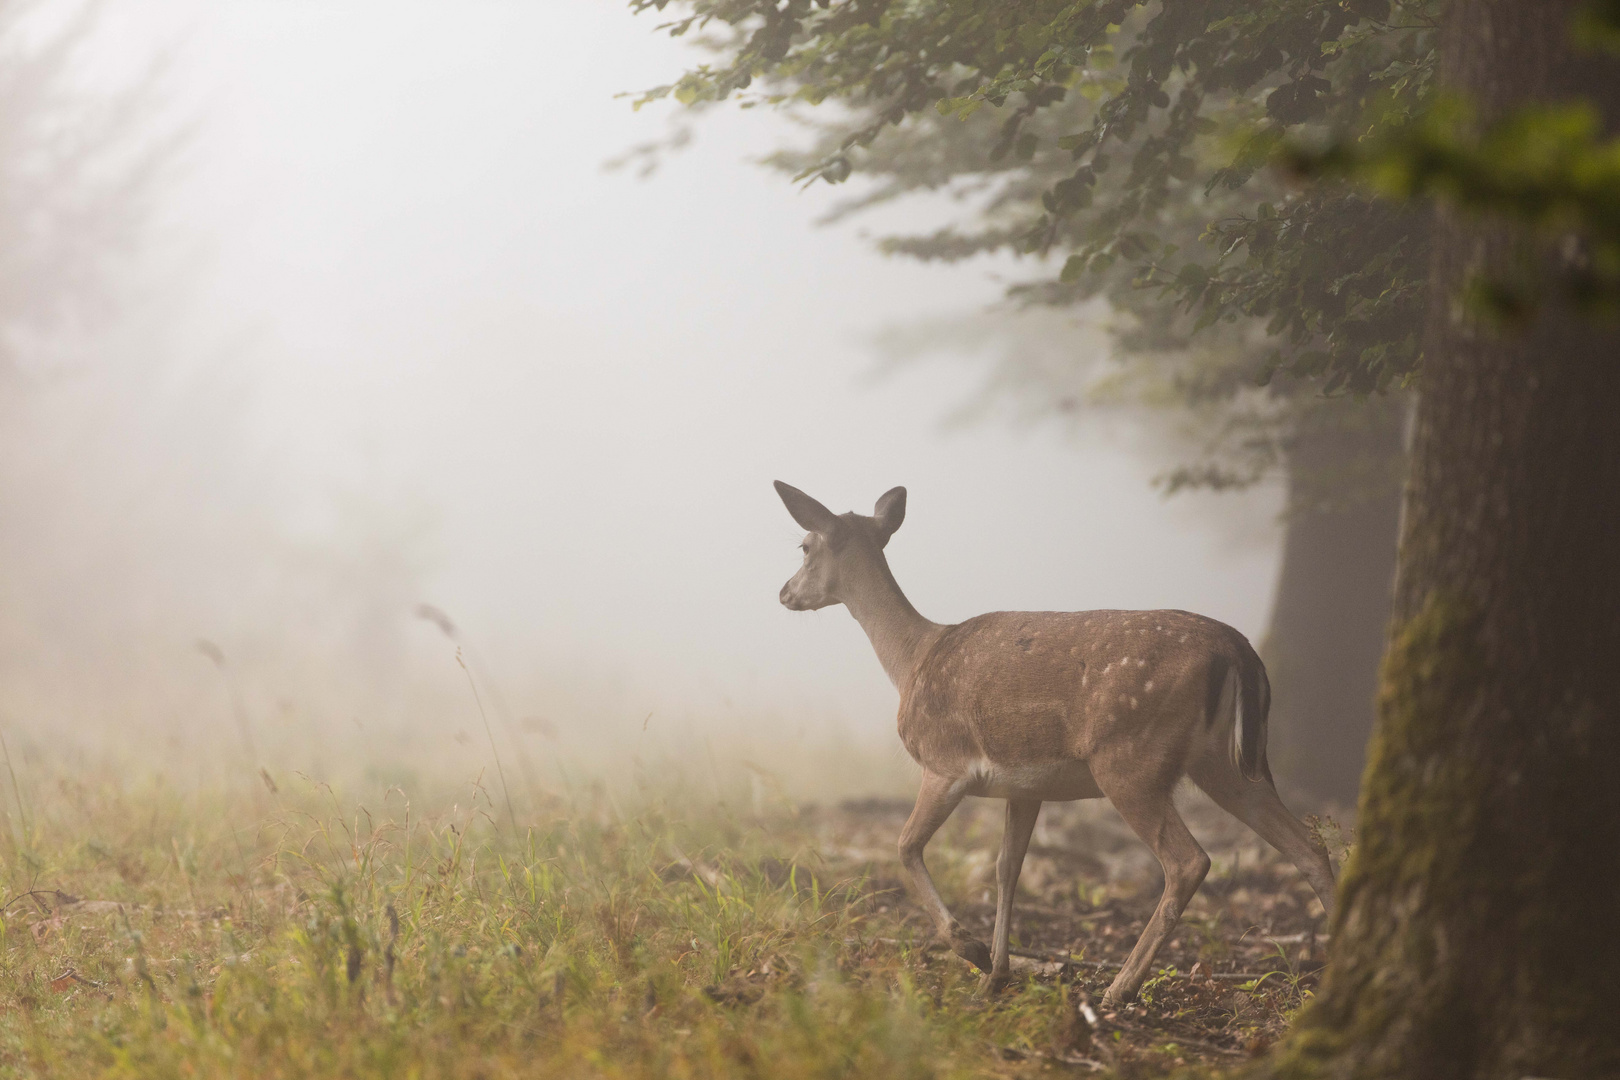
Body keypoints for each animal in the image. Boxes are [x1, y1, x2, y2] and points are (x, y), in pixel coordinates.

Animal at [777, 482, 1334, 1003]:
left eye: (804, 545)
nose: (783, 593)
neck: (912, 660)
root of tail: (1239, 650)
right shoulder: (1024, 787)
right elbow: (1007, 868)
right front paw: (996, 975)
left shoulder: (945, 762)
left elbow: (906, 844)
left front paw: (972, 951)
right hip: (1226, 763)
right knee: (1309, 846)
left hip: (1129, 757)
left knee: (1189, 860)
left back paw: (1121, 987)